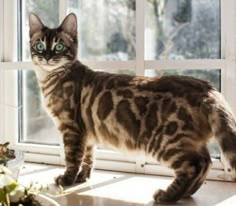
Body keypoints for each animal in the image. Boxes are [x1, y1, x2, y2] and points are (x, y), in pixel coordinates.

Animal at [29, 12, 236, 203]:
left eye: (58, 47)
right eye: (39, 45)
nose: (46, 57)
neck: (50, 79)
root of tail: (207, 89)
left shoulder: (71, 127)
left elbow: (72, 157)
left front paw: (67, 179)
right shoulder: (86, 131)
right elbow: (88, 157)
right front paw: (82, 177)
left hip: (166, 141)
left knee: (194, 166)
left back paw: (167, 195)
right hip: (188, 141)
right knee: (205, 162)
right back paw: (186, 193)